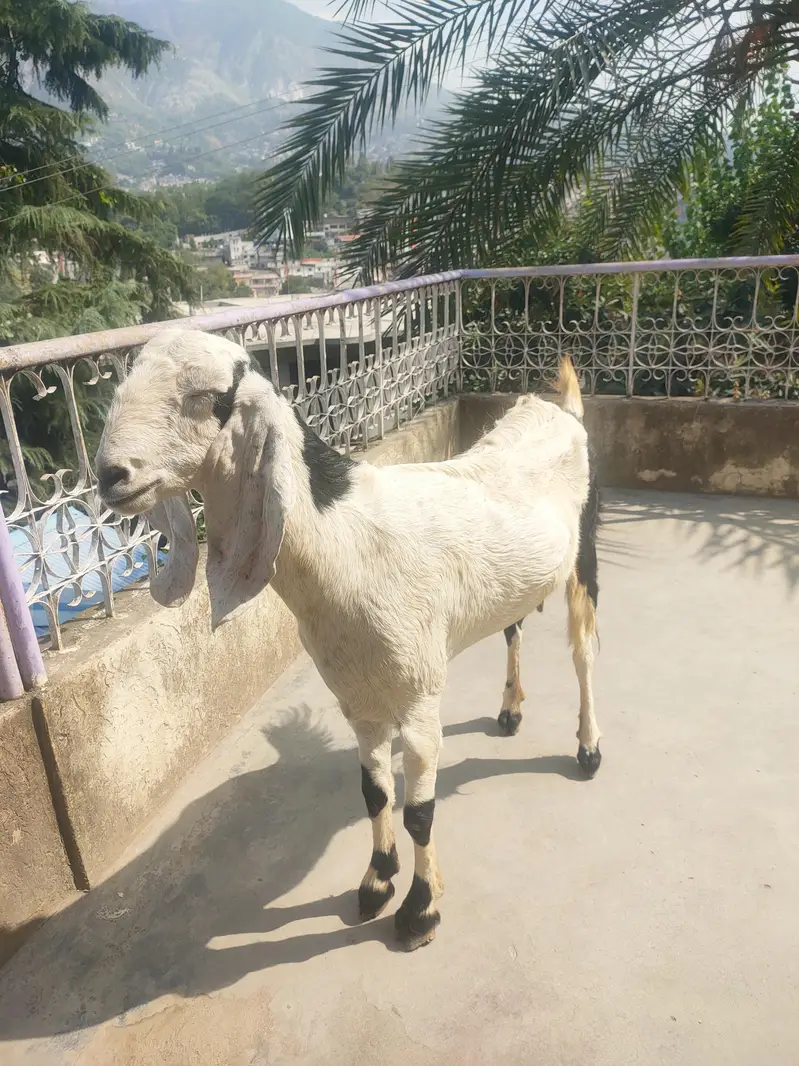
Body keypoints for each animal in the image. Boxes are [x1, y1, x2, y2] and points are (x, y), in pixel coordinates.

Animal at [95, 328, 601, 951]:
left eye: (207, 397)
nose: (110, 476)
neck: (345, 538)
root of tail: (560, 409)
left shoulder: (419, 695)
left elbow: (419, 813)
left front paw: (419, 912)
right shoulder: (357, 697)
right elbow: (374, 793)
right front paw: (376, 883)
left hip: (584, 553)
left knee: (584, 652)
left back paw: (587, 747)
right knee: (514, 627)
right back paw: (510, 710)